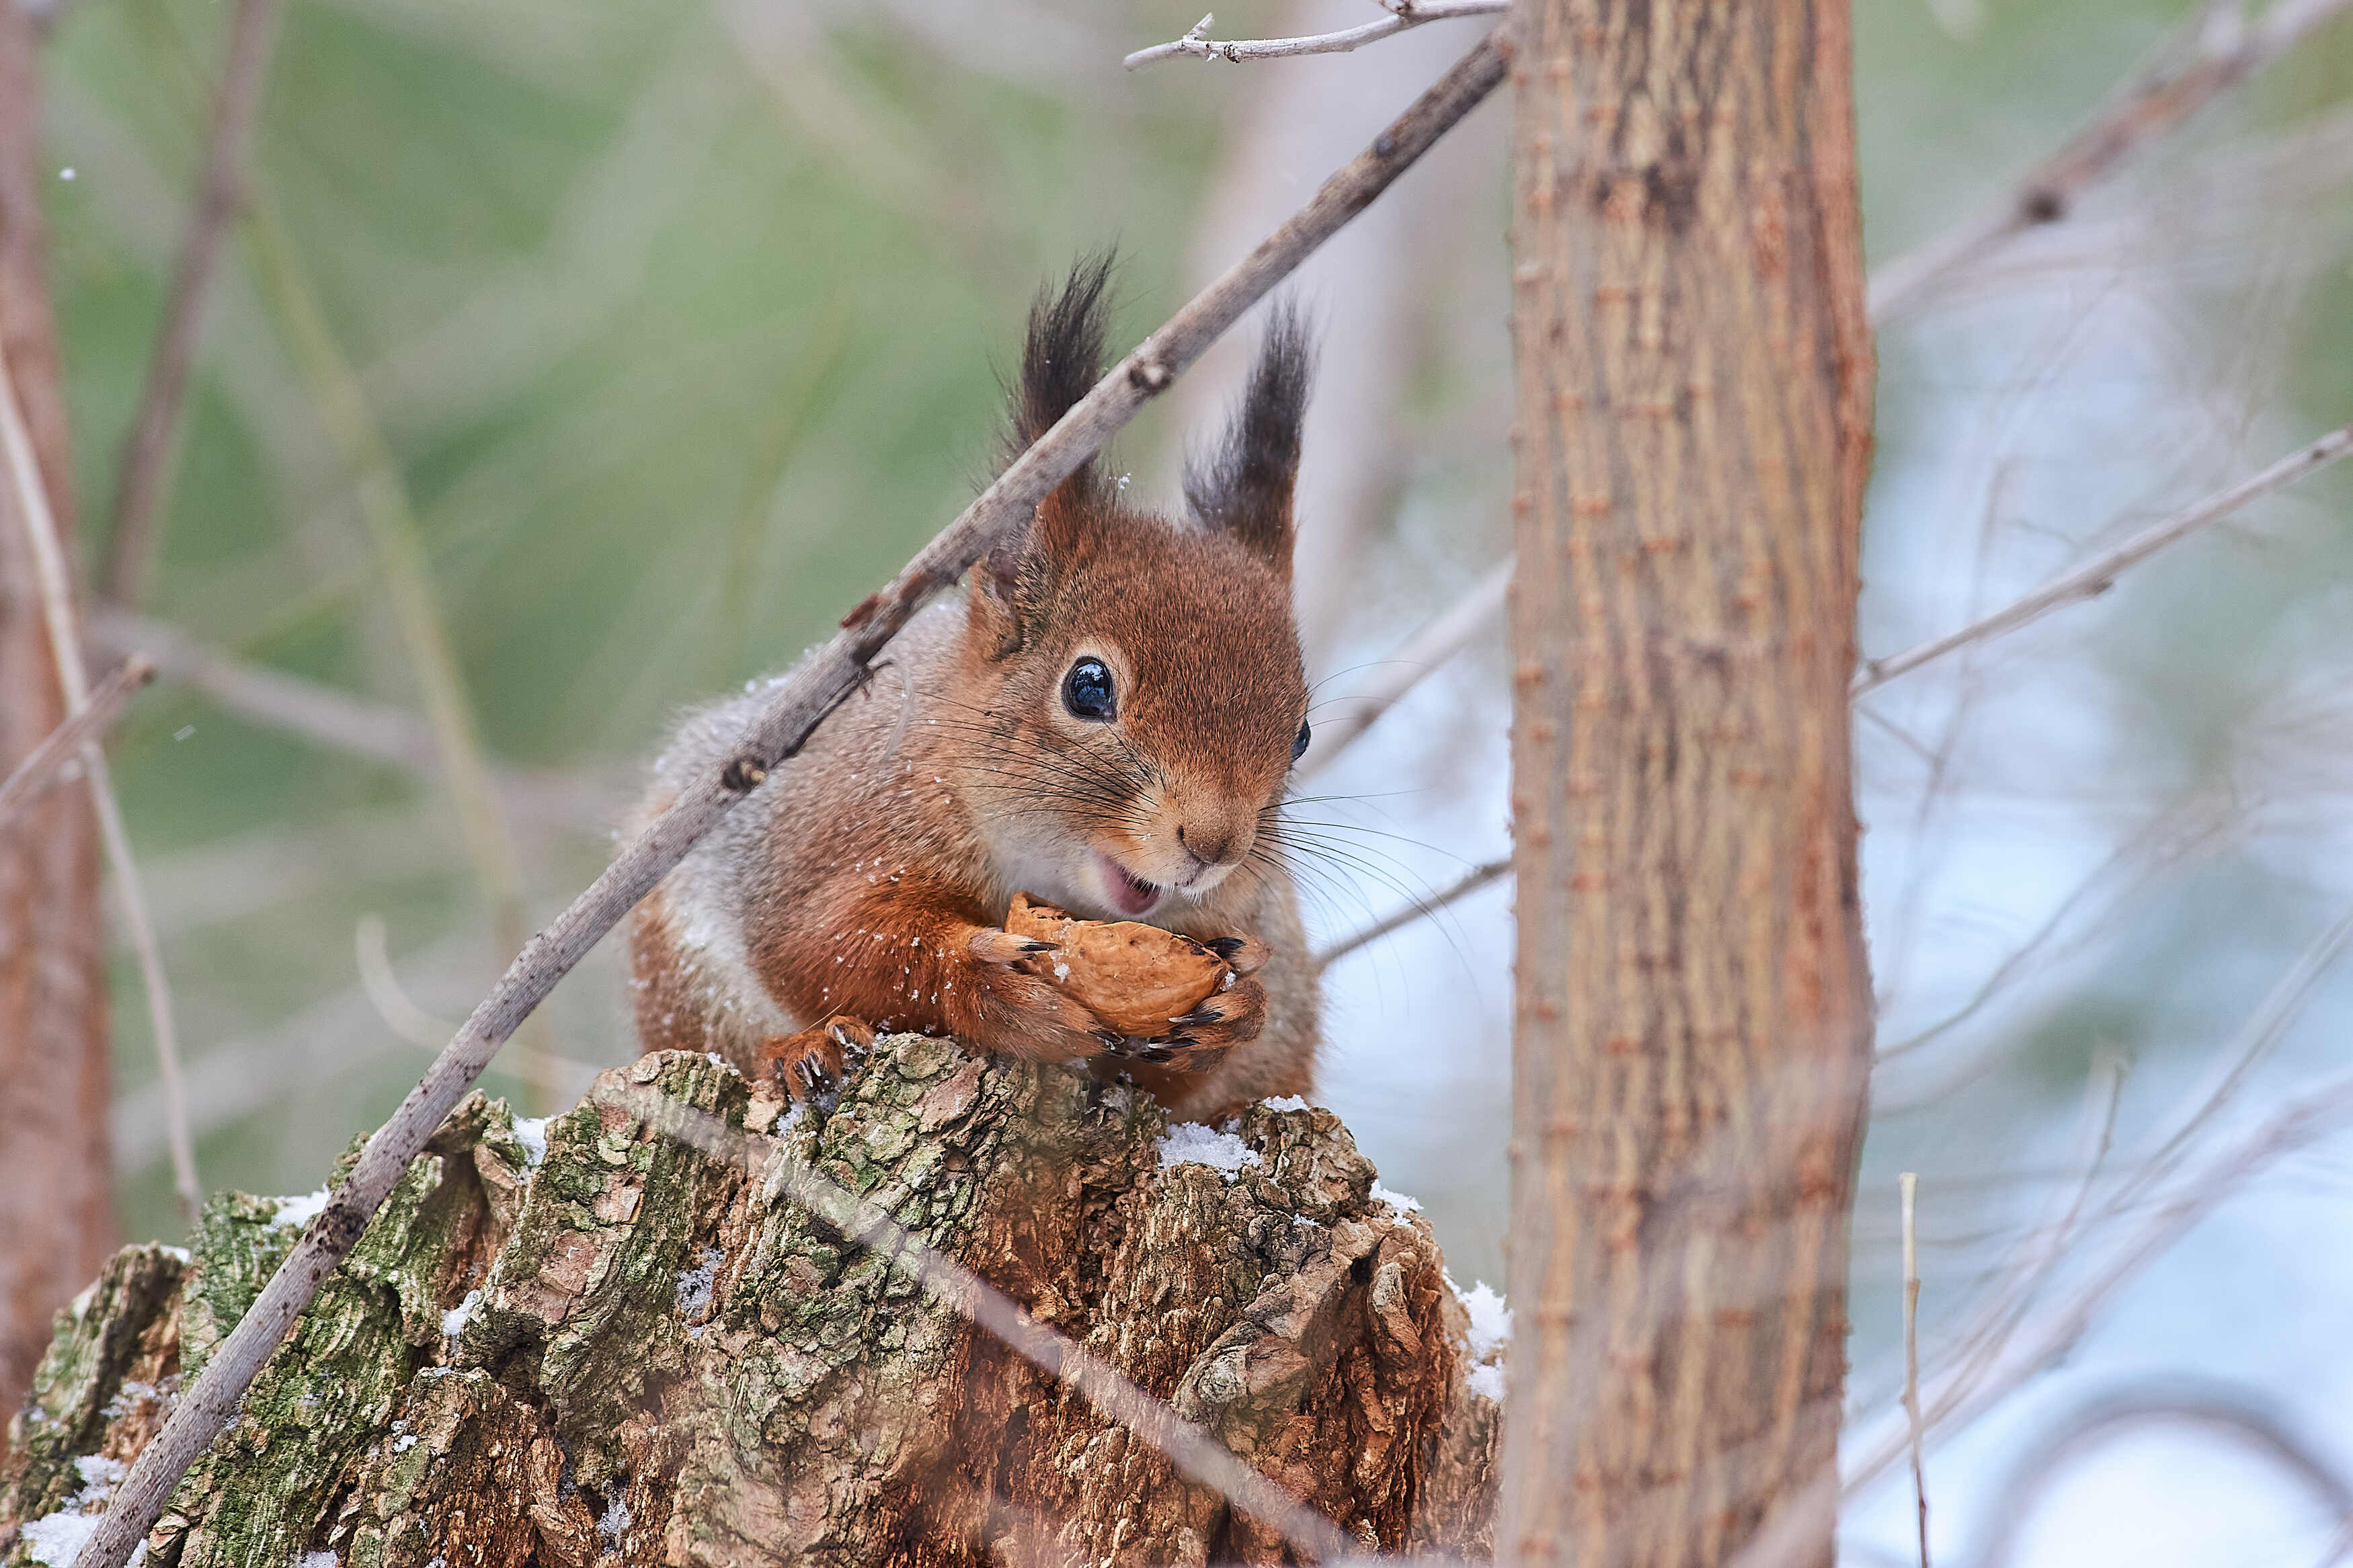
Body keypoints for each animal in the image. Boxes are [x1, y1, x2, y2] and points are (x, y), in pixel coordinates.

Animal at [626, 266, 1327, 1128]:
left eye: (1299, 734)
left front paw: (1233, 1007)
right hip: (682, 971)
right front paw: (986, 982)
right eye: (1087, 685)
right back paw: (802, 1053)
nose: (1213, 845)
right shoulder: (835, 835)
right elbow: (822, 945)